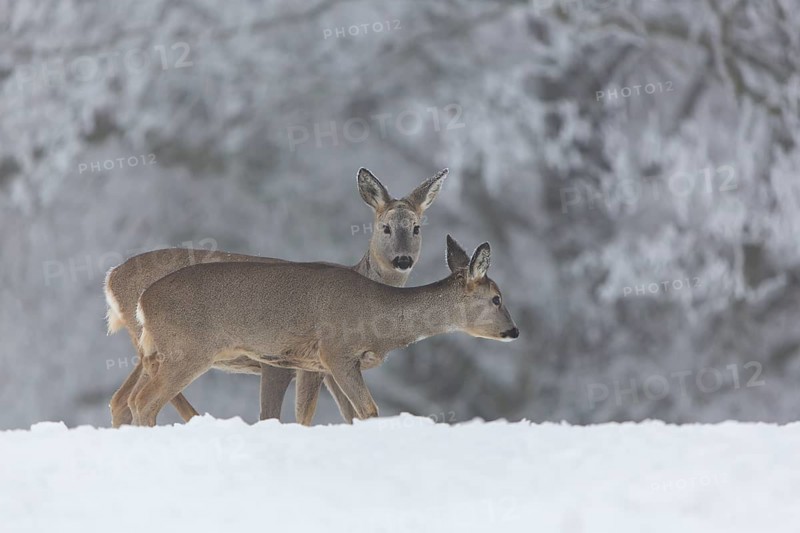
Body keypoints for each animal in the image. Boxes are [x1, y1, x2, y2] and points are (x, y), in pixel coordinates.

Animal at [106, 167, 447, 427]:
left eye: (417, 228)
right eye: (385, 227)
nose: (402, 260)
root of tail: (111, 278)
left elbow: (347, 413)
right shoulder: (298, 362)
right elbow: (299, 414)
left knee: (121, 399)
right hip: (174, 348)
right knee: (140, 398)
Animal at [130, 235, 519, 426]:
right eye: (497, 298)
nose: (514, 331)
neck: (380, 320)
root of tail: (144, 301)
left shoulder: (314, 364)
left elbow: (319, 414)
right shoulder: (337, 352)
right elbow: (368, 410)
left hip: (159, 353)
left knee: (133, 399)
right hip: (188, 350)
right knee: (145, 402)